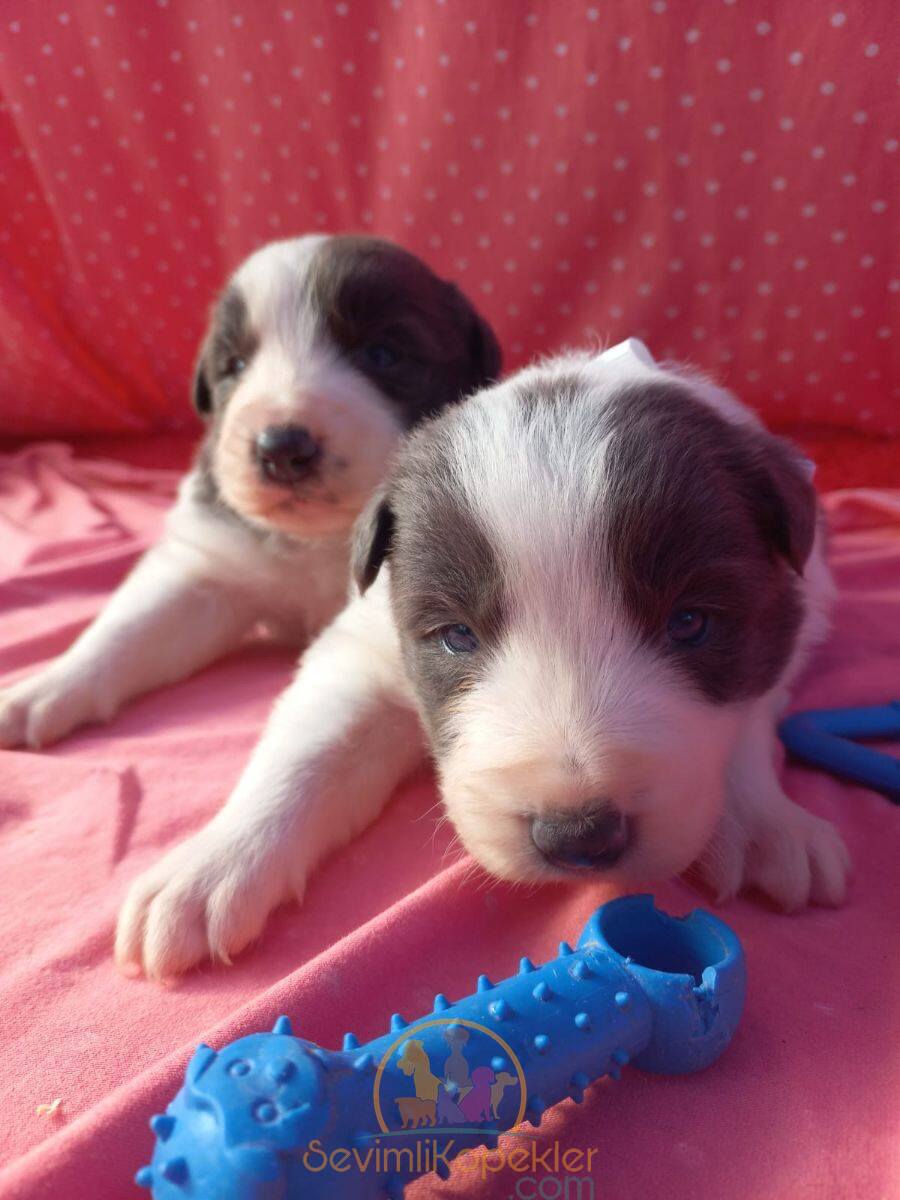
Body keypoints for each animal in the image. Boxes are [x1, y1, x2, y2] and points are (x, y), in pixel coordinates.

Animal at [0, 234, 501, 748]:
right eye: (235, 366)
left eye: (381, 354)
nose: (281, 448)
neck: (323, 540)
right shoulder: (211, 563)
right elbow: (128, 628)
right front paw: (43, 688)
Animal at [109, 336, 849, 974]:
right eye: (456, 635)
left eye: (690, 624)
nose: (580, 836)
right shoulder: (366, 649)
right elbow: (305, 755)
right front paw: (206, 869)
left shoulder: (789, 616)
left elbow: (749, 719)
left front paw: (764, 824)